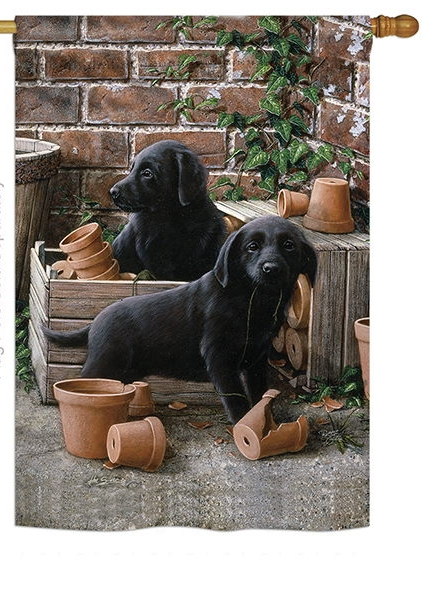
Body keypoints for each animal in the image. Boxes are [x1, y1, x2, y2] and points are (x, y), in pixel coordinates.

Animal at [44, 216, 316, 422]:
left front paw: (265, 421)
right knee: (80, 385)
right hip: (105, 362)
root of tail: (95, 320)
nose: (271, 268)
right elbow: (235, 396)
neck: (251, 300)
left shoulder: (256, 360)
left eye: (289, 245)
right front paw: (243, 424)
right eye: (252, 247)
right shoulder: (219, 357)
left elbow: (260, 394)